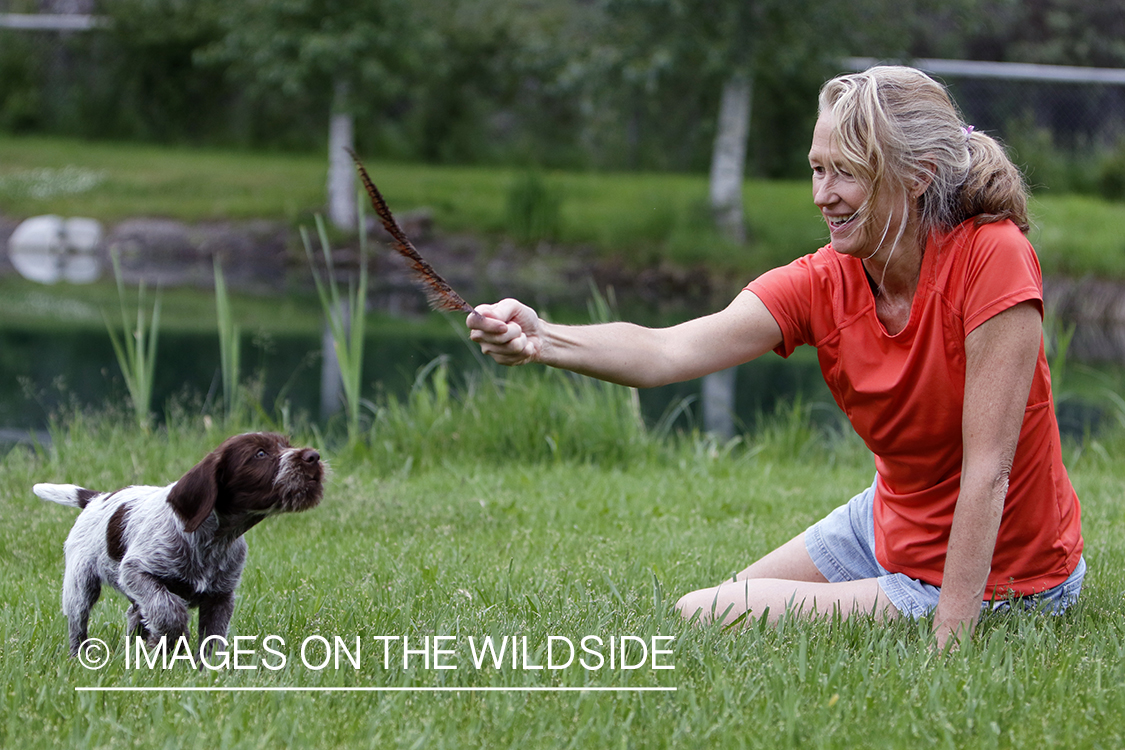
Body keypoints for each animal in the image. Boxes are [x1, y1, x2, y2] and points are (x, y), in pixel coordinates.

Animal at [35, 434, 324, 656]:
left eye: (287, 443)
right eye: (260, 453)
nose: (313, 456)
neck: (214, 539)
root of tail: (96, 498)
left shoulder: (221, 597)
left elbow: (212, 638)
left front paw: (208, 671)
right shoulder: (136, 571)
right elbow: (169, 610)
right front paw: (173, 640)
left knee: (134, 613)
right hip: (80, 584)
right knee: (78, 622)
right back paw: (79, 656)